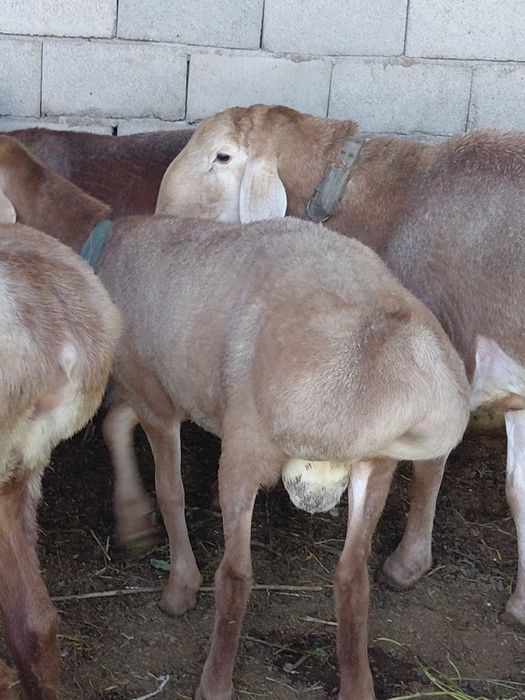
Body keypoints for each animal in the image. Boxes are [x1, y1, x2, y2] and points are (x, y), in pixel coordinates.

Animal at [156, 103, 525, 629]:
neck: (397, 197)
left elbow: (430, 466)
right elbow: (517, 490)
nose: (163, 221)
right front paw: (521, 601)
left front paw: (408, 563)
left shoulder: (451, 350)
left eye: (222, 156)